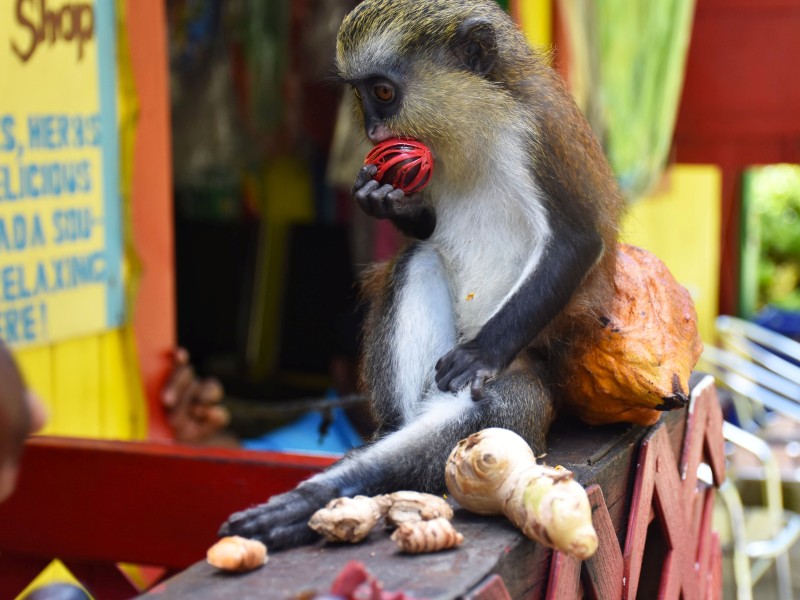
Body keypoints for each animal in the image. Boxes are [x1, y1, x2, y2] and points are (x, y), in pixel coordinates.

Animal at [220, 0, 624, 550]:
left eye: (383, 93)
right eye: (360, 95)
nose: (373, 134)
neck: (477, 120)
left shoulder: (540, 135)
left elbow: (576, 240)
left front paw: (480, 356)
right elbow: (425, 232)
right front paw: (382, 200)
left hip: (525, 379)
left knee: (486, 409)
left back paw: (324, 495)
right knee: (420, 260)